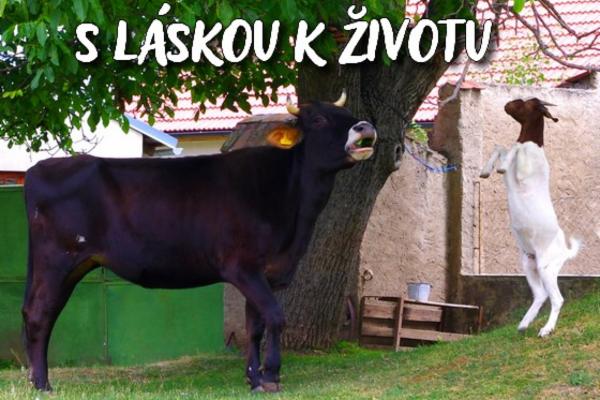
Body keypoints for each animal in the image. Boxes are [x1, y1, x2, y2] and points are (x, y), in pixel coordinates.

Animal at [21, 92, 377, 392]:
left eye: (347, 113)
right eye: (318, 119)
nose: (364, 126)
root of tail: (39, 169)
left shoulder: (269, 272)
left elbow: (255, 326)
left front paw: (253, 379)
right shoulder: (242, 266)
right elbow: (276, 317)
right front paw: (271, 376)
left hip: (73, 264)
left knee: (43, 313)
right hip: (57, 259)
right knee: (39, 313)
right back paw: (42, 384)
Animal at [480, 97, 580, 337]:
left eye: (524, 103)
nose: (507, 104)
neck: (533, 146)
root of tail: (565, 252)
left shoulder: (522, 171)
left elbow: (512, 147)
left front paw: (500, 166)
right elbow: (500, 147)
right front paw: (486, 170)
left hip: (546, 268)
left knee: (557, 299)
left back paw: (546, 329)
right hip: (529, 265)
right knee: (541, 295)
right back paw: (524, 323)